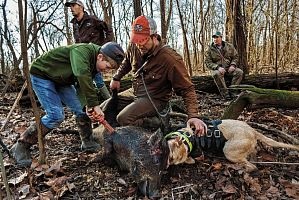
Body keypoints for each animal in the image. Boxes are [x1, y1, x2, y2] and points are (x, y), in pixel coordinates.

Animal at [166, 119, 299, 172]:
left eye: (172, 158)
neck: (186, 139)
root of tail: (252, 131)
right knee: (253, 156)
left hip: (228, 151)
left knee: (252, 166)